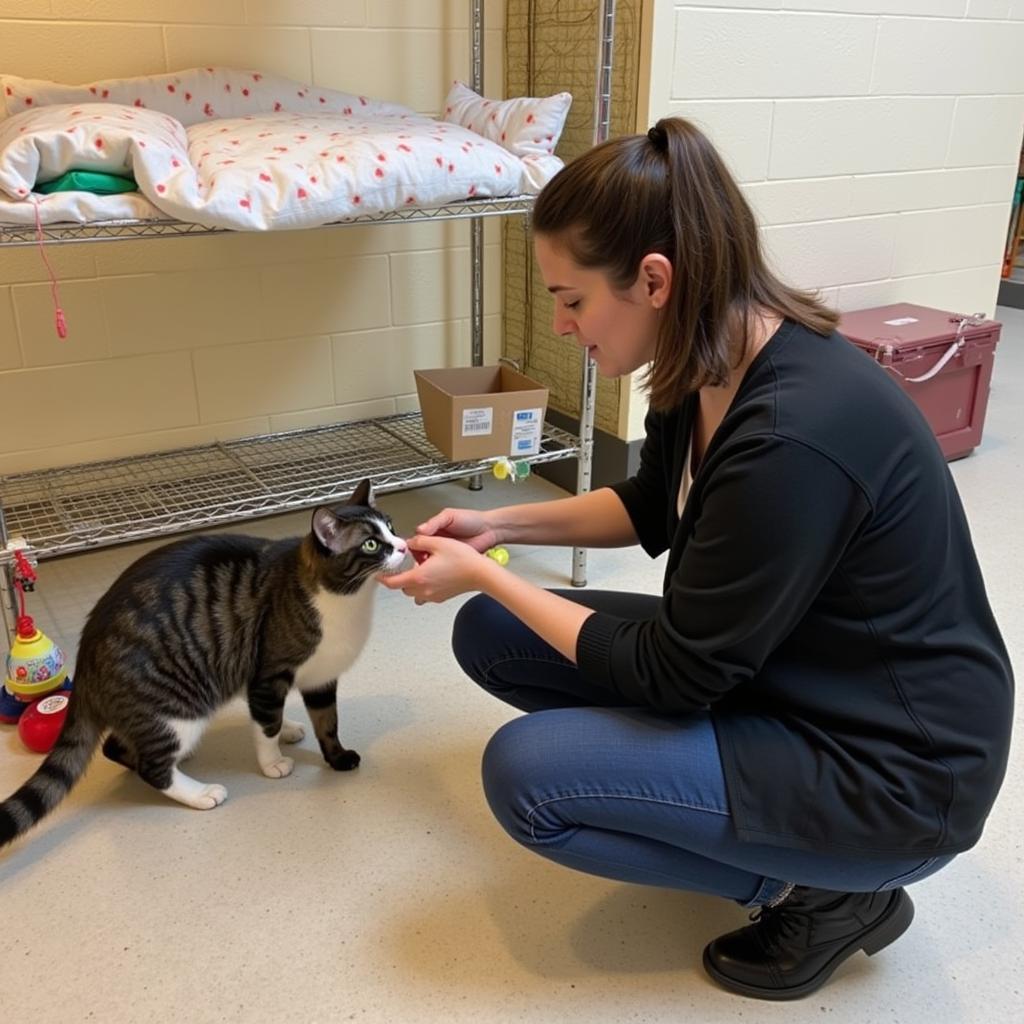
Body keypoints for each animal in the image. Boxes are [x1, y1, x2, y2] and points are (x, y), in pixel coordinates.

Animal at [0, 479, 407, 847]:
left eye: (391, 525)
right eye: (372, 544)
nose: (403, 545)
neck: (344, 599)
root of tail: (84, 661)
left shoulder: (321, 677)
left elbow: (327, 722)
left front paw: (336, 757)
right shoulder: (268, 675)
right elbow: (266, 725)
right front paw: (272, 762)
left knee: (117, 748)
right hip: (178, 704)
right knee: (149, 765)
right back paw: (199, 792)